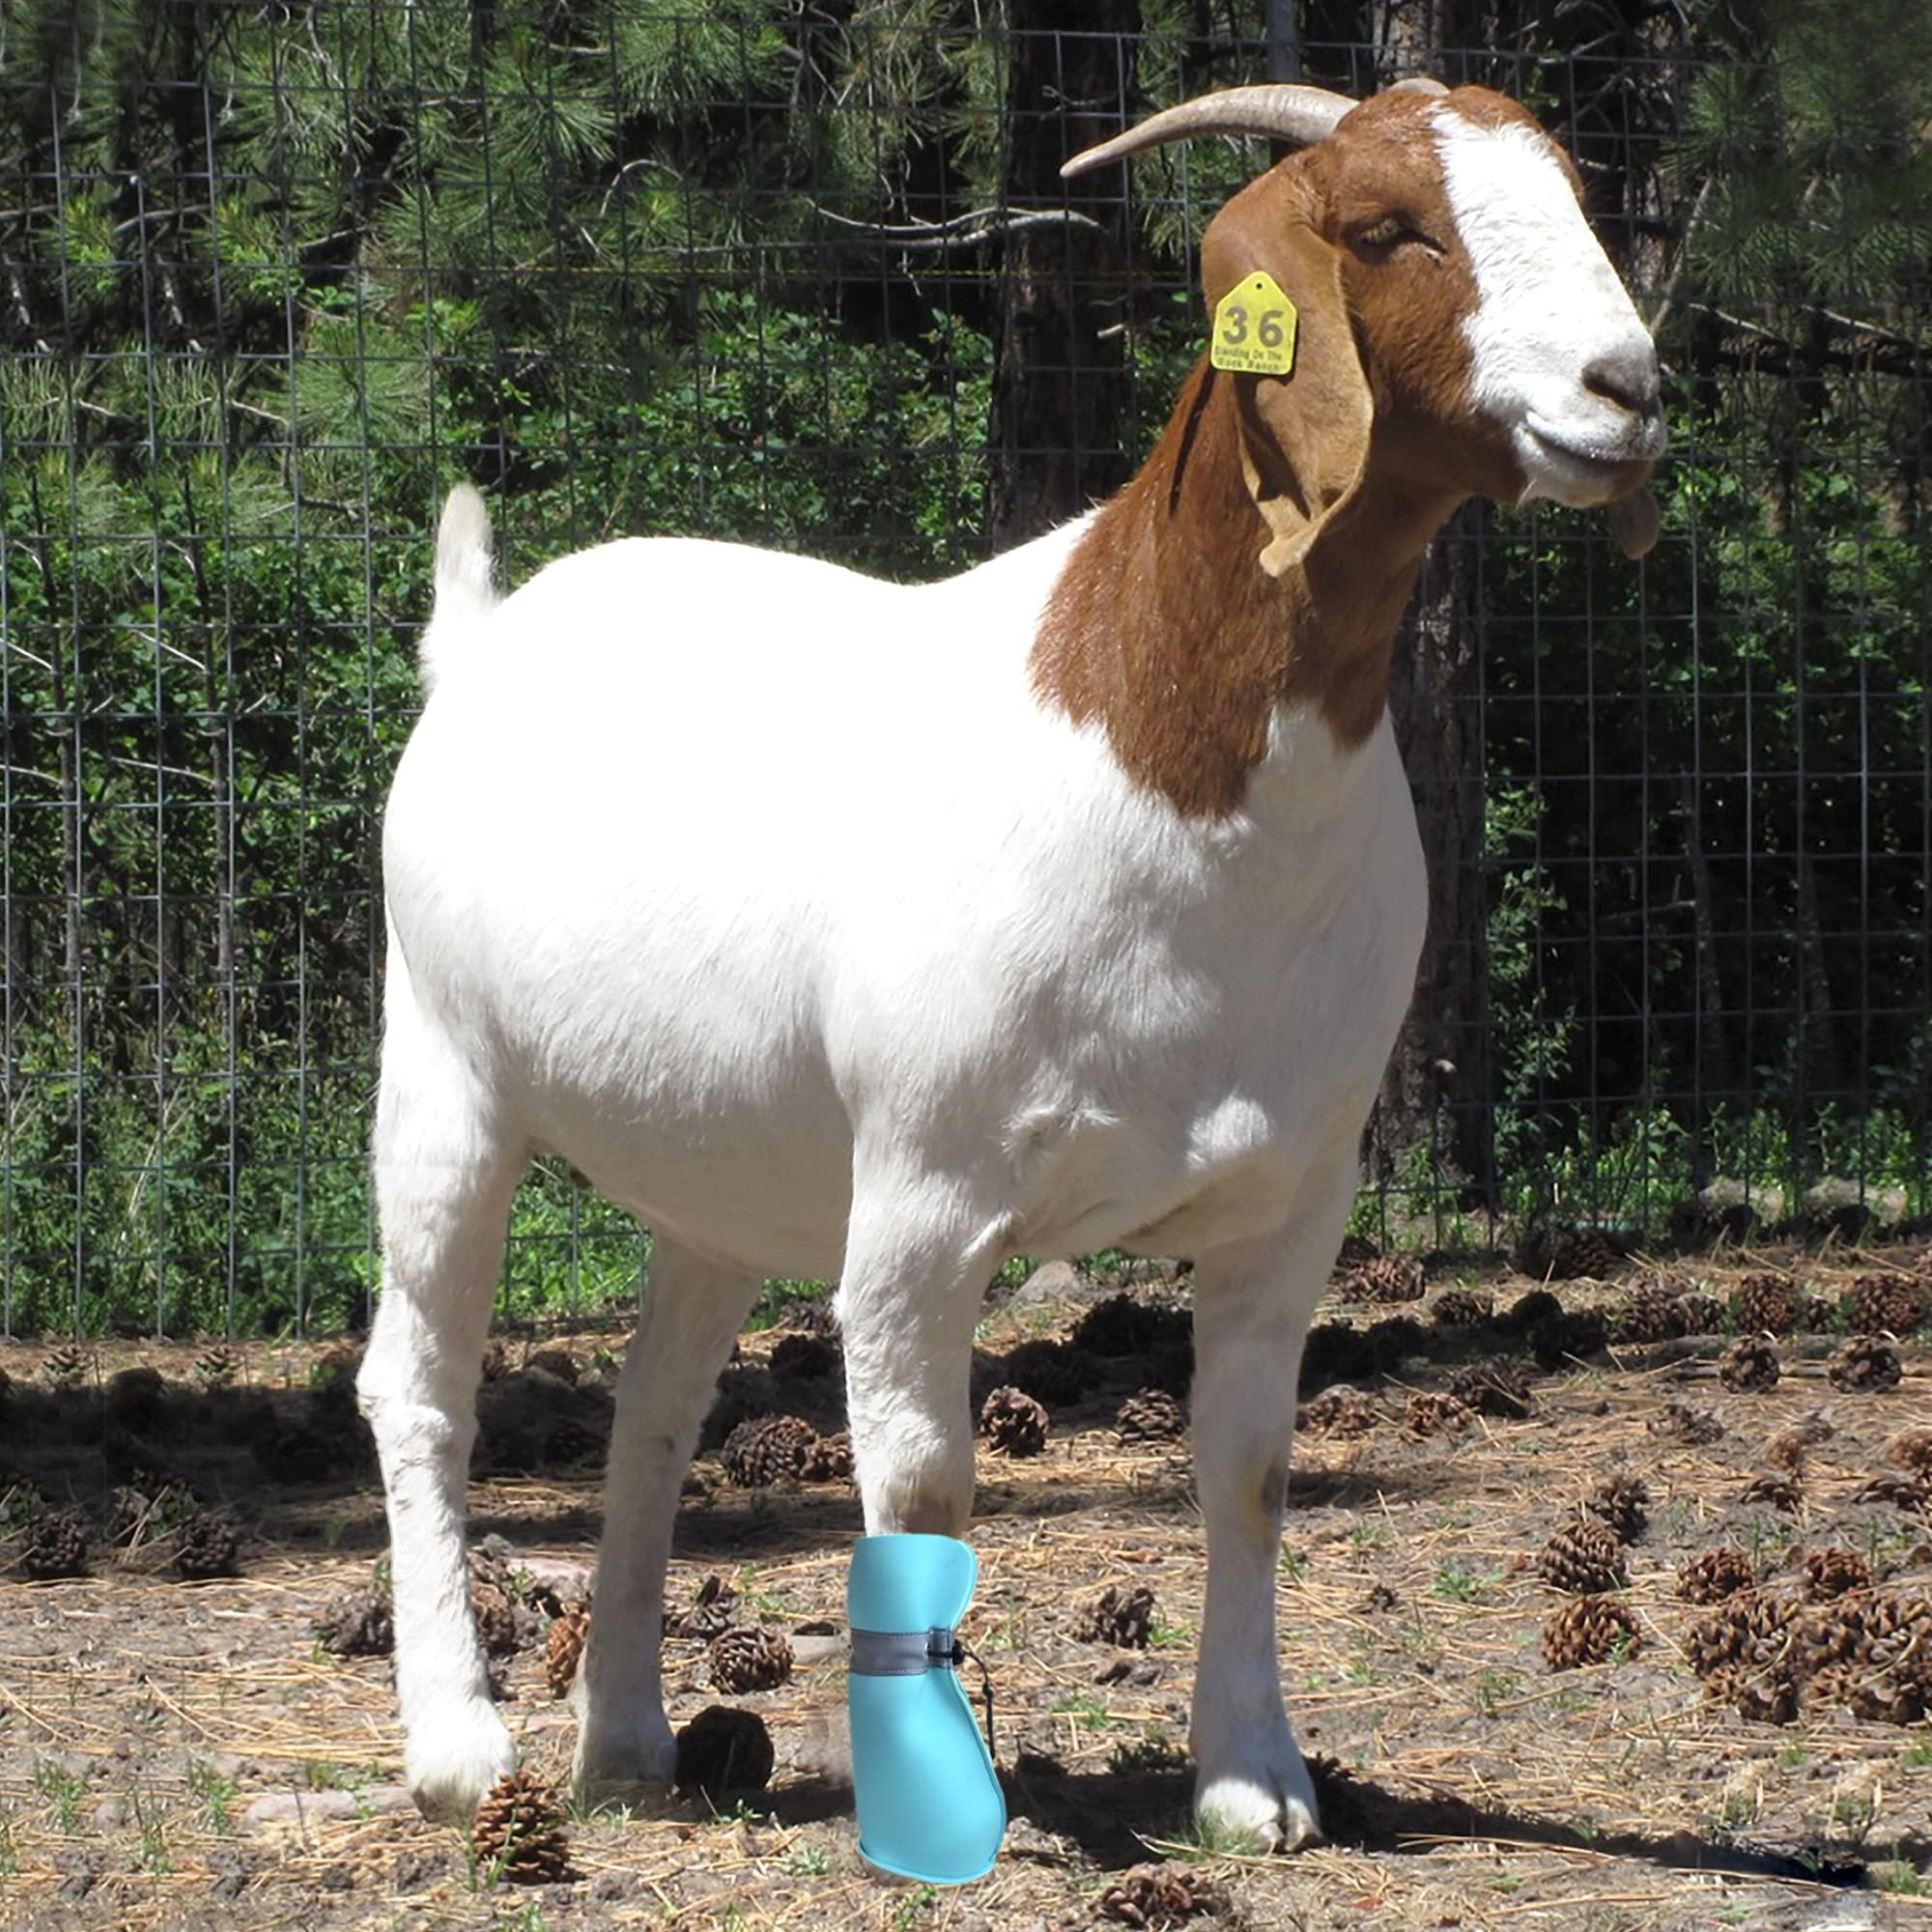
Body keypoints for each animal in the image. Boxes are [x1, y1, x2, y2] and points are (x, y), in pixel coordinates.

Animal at [358, 76, 1664, 1851]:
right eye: (1392, 225)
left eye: (1574, 190)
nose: (1629, 389)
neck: (1147, 732)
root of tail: (480, 638)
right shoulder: (924, 1195)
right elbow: (924, 1485)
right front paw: (936, 1812)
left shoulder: (1293, 1199)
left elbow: (1250, 1468)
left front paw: (1253, 1781)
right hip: (442, 1069)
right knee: (419, 1387)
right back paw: (461, 1751)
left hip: (721, 1173)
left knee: (652, 1412)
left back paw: (622, 1746)